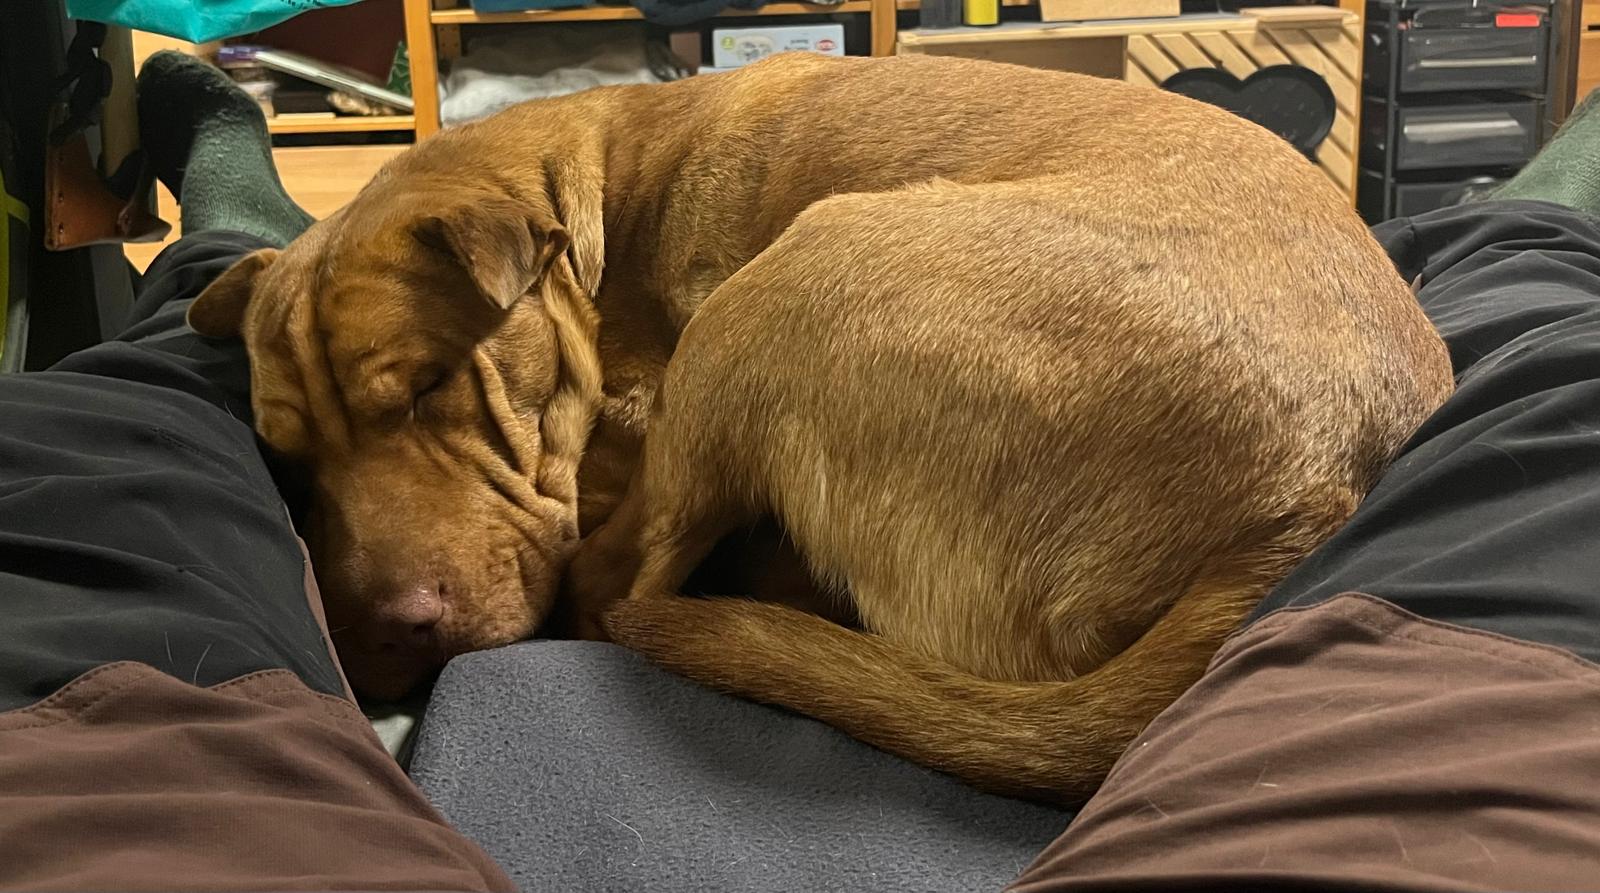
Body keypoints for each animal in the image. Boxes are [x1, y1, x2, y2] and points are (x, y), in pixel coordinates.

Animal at [188, 53, 1452, 802]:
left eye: (432, 388)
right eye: (290, 459)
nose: (382, 633)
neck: (595, 201)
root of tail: (1302, 505)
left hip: (805, 264)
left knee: (621, 587)